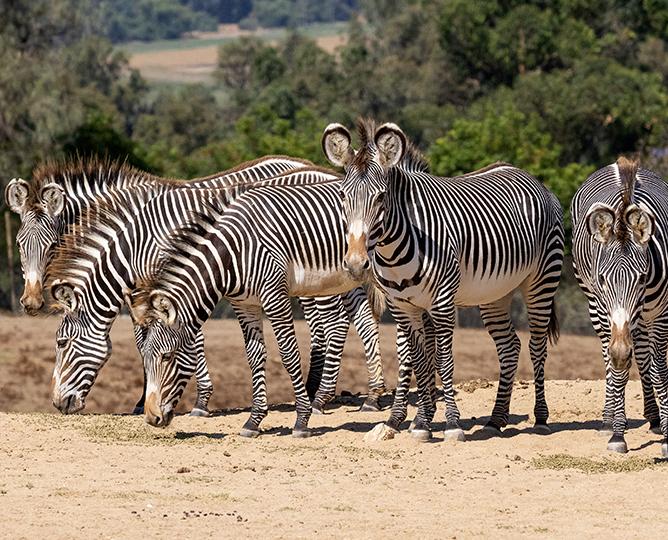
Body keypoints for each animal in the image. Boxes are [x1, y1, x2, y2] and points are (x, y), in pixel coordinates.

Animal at [44, 167, 386, 425]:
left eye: (62, 343)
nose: (58, 404)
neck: (138, 241)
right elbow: (147, 342)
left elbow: (188, 340)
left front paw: (199, 401)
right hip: (347, 276)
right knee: (364, 321)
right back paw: (371, 396)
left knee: (335, 324)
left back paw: (323, 397)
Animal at [322, 119, 564, 442]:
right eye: (343, 197)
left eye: (381, 197)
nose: (356, 264)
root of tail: (530, 177)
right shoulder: (403, 307)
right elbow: (418, 359)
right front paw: (414, 423)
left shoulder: (442, 302)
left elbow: (443, 360)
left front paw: (450, 423)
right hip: (494, 294)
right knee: (509, 347)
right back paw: (496, 419)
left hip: (542, 280)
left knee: (537, 345)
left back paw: (540, 418)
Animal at [571, 157, 668, 457]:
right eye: (603, 279)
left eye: (642, 277)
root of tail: (618, 163)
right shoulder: (608, 309)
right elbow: (618, 366)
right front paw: (617, 433)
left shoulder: (660, 312)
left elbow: (659, 367)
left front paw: (667, 435)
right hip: (594, 303)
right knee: (609, 356)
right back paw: (608, 418)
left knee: (643, 356)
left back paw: (654, 418)